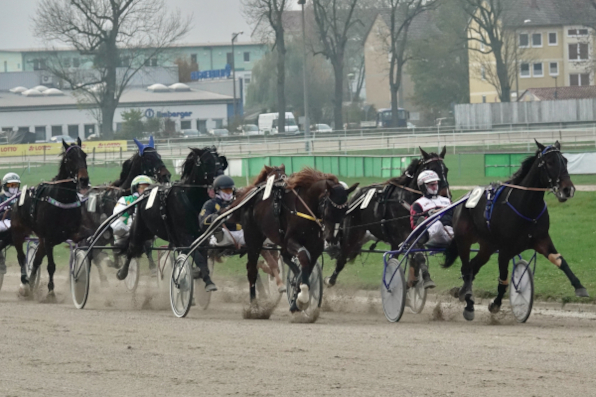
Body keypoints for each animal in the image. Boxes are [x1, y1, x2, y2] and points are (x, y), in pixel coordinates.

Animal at [9, 138, 91, 298]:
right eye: (69, 158)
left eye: (84, 155)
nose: (84, 179)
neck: (62, 199)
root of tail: (16, 201)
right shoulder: (48, 238)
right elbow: (51, 266)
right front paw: (51, 292)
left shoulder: (72, 232)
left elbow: (85, 237)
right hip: (18, 233)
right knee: (21, 257)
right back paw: (25, 285)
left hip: (40, 240)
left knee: (36, 261)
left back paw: (32, 285)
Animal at [115, 147, 227, 284]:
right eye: (207, 162)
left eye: (220, 162)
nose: (222, 179)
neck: (191, 199)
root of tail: (145, 194)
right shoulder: (185, 236)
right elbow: (198, 257)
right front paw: (207, 281)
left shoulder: (202, 237)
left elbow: (202, 257)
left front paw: (197, 272)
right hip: (141, 229)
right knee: (132, 247)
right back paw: (123, 272)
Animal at [230, 167, 356, 312]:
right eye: (329, 209)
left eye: (345, 210)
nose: (333, 239)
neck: (305, 207)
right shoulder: (291, 241)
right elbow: (304, 257)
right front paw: (303, 298)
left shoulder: (315, 247)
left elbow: (307, 265)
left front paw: (298, 296)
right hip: (253, 239)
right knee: (252, 270)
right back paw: (254, 306)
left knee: (285, 257)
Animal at [324, 145, 450, 288]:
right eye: (432, 169)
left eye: (446, 170)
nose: (446, 195)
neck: (406, 199)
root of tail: (354, 197)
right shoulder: (405, 234)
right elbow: (418, 256)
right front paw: (425, 279)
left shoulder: (416, 234)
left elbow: (417, 256)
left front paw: (418, 279)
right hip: (352, 233)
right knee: (343, 256)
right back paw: (331, 280)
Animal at [442, 141, 588, 320]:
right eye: (549, 162)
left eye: (565, 161)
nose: (568, 190)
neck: (526, 207)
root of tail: (462, 200)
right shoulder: (505, 251)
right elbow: (503, 280)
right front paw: (495, 304)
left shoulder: (541, 240)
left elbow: (560, 260)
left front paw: (579, 286)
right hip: (464, 240)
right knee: (467, 269)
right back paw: (468, 303)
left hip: (487, 245)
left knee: (473, 266)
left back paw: (463, 294)